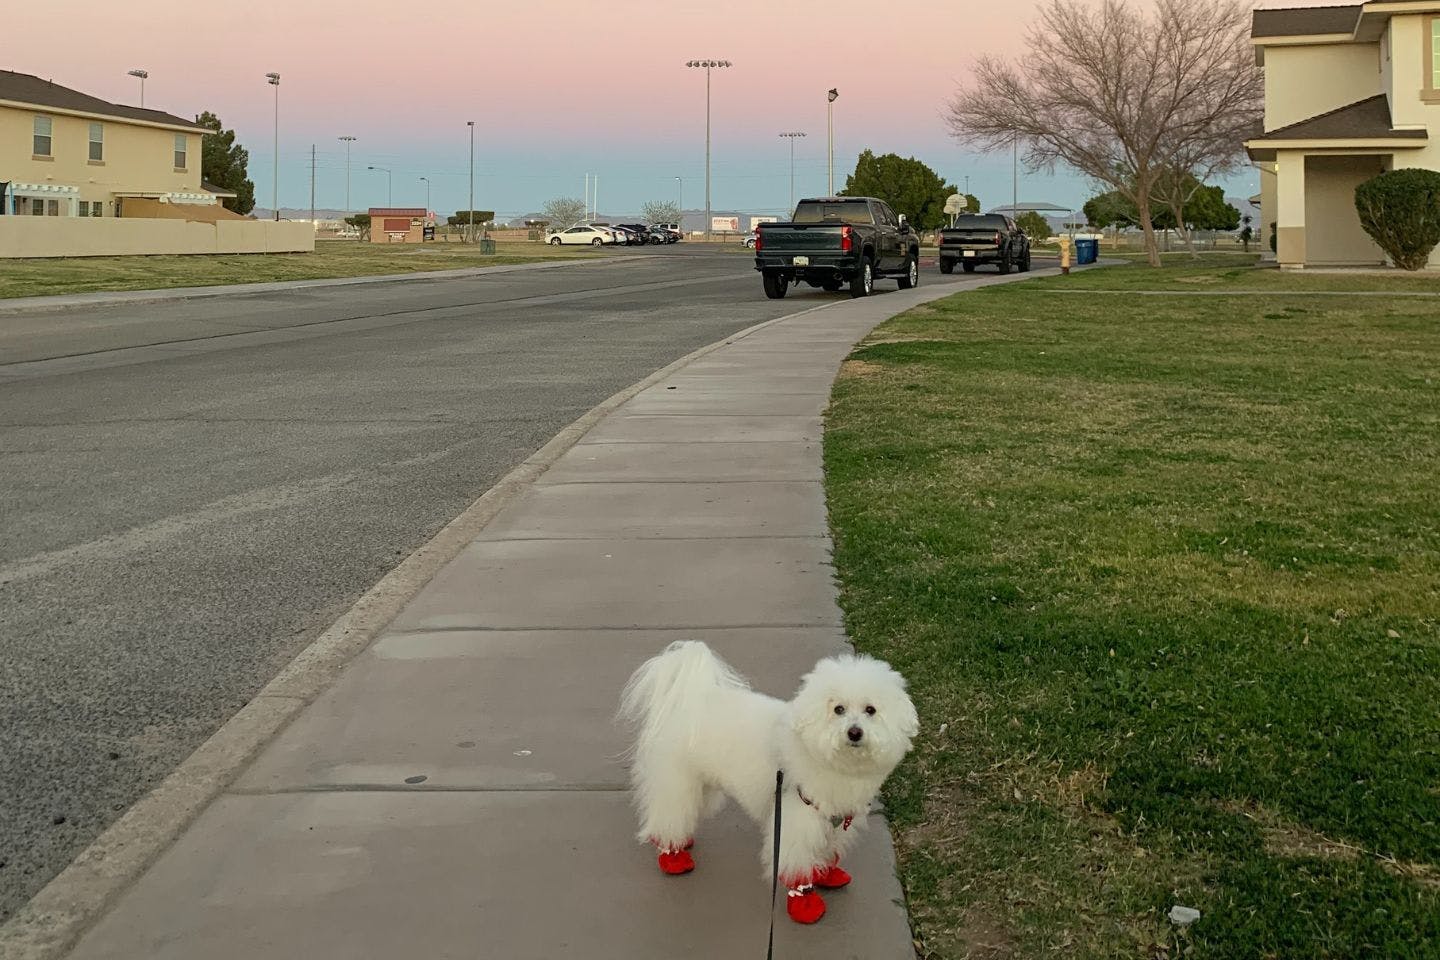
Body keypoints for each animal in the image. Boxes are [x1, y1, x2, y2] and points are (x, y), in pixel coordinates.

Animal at [616, 641, 910, 926]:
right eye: (838, 709)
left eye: (871, 710)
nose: (854, 732)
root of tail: (688, 697)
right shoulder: (796, 819)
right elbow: (796, 864)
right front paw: (805, 905)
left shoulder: (834, 820)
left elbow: (827, 849)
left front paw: (826, 873)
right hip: (676, 779)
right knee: (668, 813)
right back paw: (673, 855)